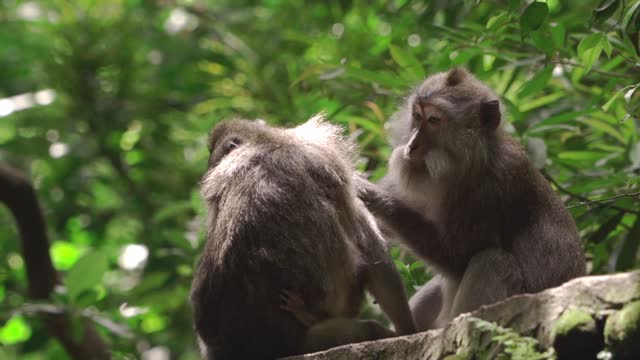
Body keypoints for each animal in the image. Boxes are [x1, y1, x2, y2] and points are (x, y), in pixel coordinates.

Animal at [358, 68, 588, 332]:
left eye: (434, 120)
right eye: (417, 116)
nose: (411, 146)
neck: (467, 163)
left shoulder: (490, 188)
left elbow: (456, 257)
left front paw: (371, 195)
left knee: (493, 261)